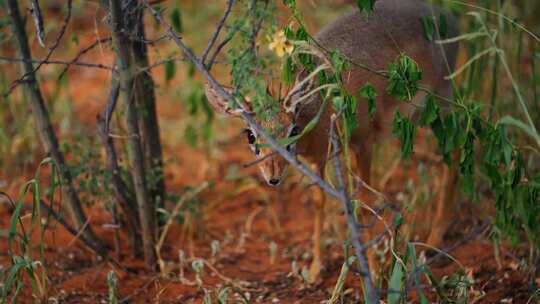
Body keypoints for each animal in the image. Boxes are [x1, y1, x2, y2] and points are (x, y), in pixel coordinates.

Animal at [205, 0, 458, 280]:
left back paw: (435, 241)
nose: (273, 178)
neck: (319, 111)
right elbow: (319, 202)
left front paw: (375, 272)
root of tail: (445, 14)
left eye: (292, 130)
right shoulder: (317, 160)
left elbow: (363, 204)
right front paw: (316, 268)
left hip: (439, 104)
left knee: (456, 151)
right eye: (251, 134)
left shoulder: (364, 143)